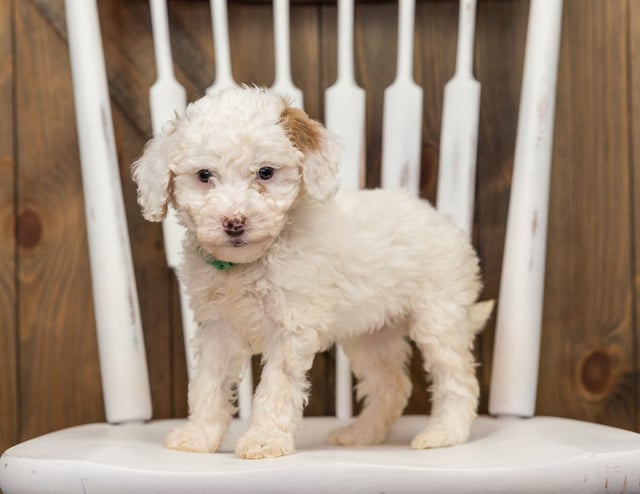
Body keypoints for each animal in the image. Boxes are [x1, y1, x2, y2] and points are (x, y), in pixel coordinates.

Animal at [132, 85, 492, 460]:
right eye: (204, 175)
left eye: (265, 173)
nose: (234, 222)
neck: (249, 263)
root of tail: (443, 220)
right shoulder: (218, 327)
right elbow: (208, 383)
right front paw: (199, 437)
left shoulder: (290, 327)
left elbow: (275, 387)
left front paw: (264, 440)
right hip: (371, 334)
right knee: (390, 385)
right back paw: (362, 434)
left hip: (439, 316)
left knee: (457, 379)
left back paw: (444, 434)